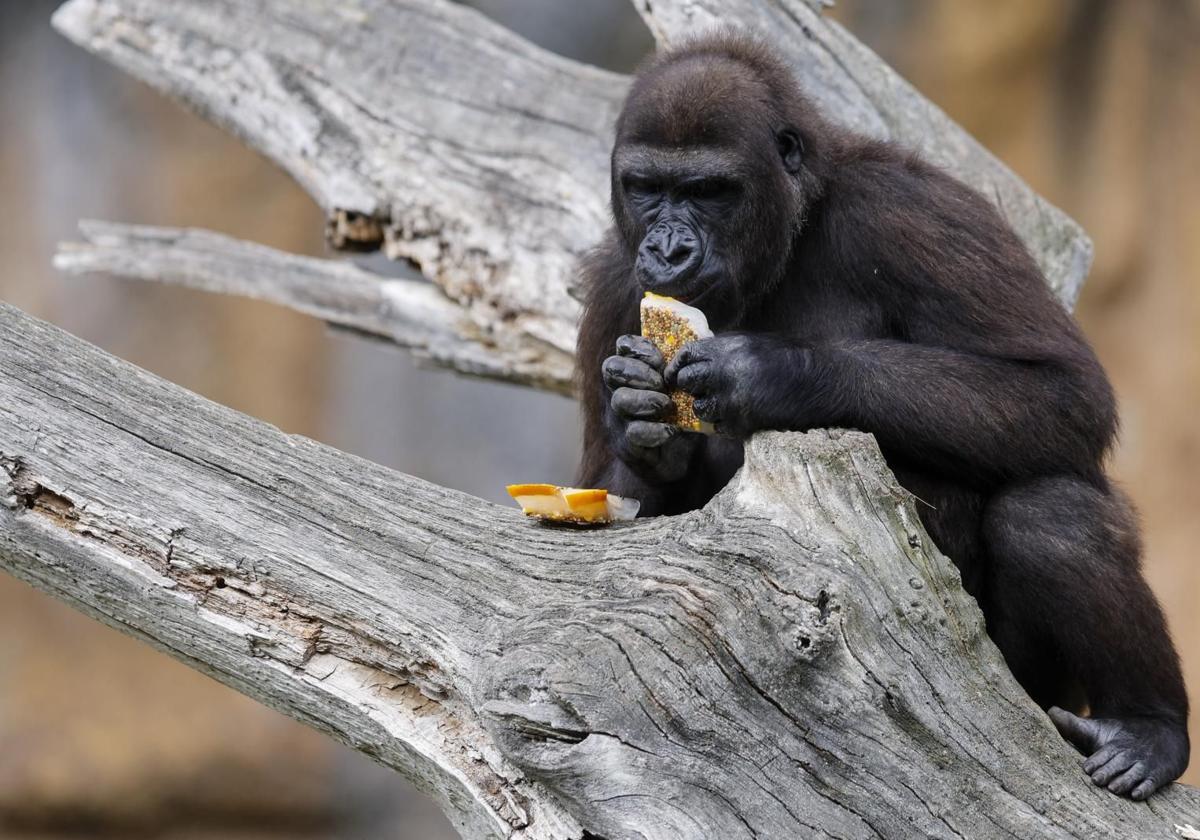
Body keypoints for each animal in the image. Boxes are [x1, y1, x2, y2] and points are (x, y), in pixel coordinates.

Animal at [576, 32, 1185, 796]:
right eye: (647, 188)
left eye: (710, 192)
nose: (668, 249)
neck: (792, 226)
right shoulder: (610, 284)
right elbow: (611, 511)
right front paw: (642, 424)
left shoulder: (910, 207)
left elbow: (1064, 392)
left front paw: (772, 373)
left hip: (1038, 693)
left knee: (1053, 516)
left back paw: (1149, 724)